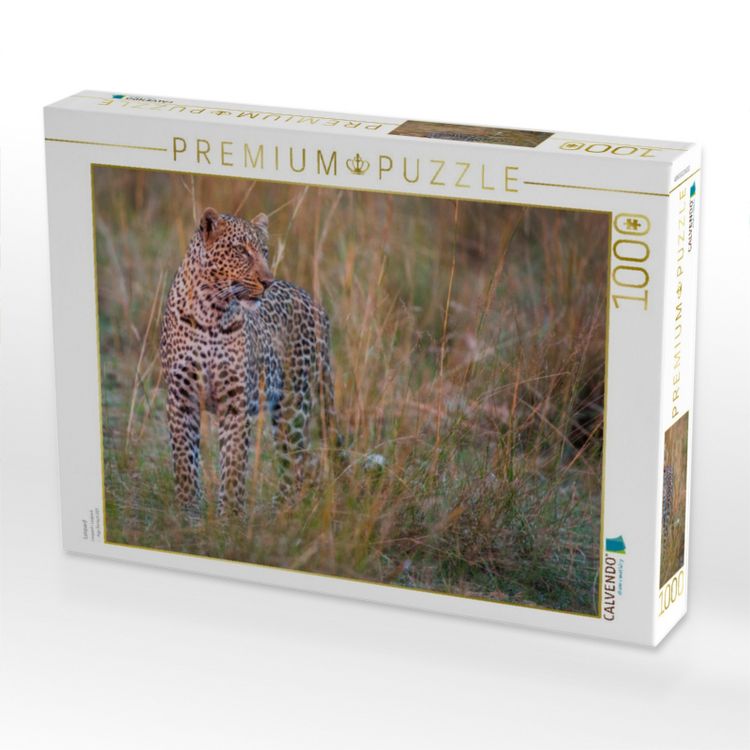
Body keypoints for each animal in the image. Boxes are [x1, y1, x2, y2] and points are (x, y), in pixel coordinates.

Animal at [160, 207, 336, 522]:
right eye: (242, 251)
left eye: (265, 251)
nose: (267, 282)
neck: (211, 314)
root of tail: (317, 304)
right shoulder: (181, 397)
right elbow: (184, 460)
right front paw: (188, 511)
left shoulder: (236, 401)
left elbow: (233, 462)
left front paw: (230, 516)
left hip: (292, 405)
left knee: (297, 462)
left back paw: (282, 514)